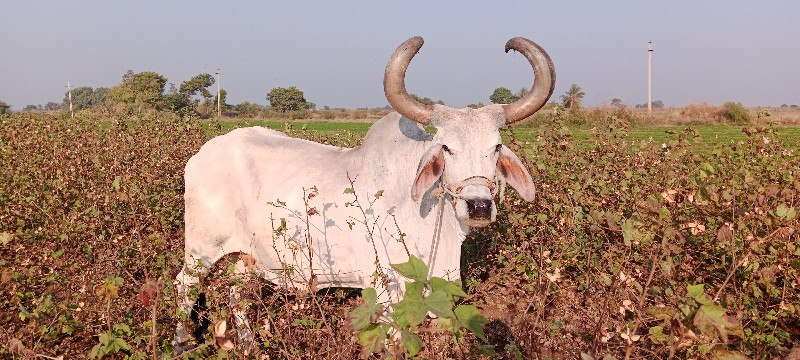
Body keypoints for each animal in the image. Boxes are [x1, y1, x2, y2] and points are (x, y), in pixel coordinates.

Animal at [173, 35, 552, 348]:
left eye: (496, 146)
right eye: (446, 147)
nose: (478, 206)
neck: (429, 221)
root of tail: (203, 153)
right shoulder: (385, 289)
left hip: (244, 258)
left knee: (235, 292)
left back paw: (249, 345)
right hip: (201, 250)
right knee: (184, 286)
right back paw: (181, 344)